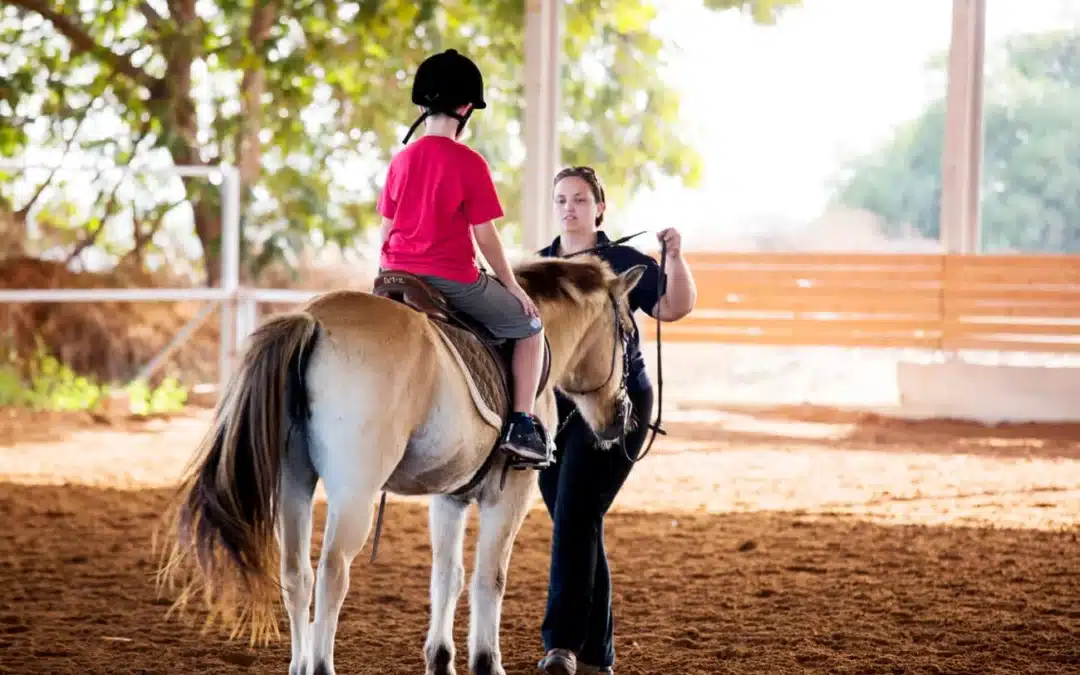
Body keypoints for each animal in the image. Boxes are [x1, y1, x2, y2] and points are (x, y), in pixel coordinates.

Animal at [156, 253, 643, 673]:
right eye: (625, 333)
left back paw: (299, 663)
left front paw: (440, 659)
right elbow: (490, 578)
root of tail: (312, 321)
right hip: (354, 492)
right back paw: (322, 664)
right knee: (333, 573)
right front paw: (487, 661)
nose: (621, 416)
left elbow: (448, 576)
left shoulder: (449, 496)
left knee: (297, 573)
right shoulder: (509, 495)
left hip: (294, 483)